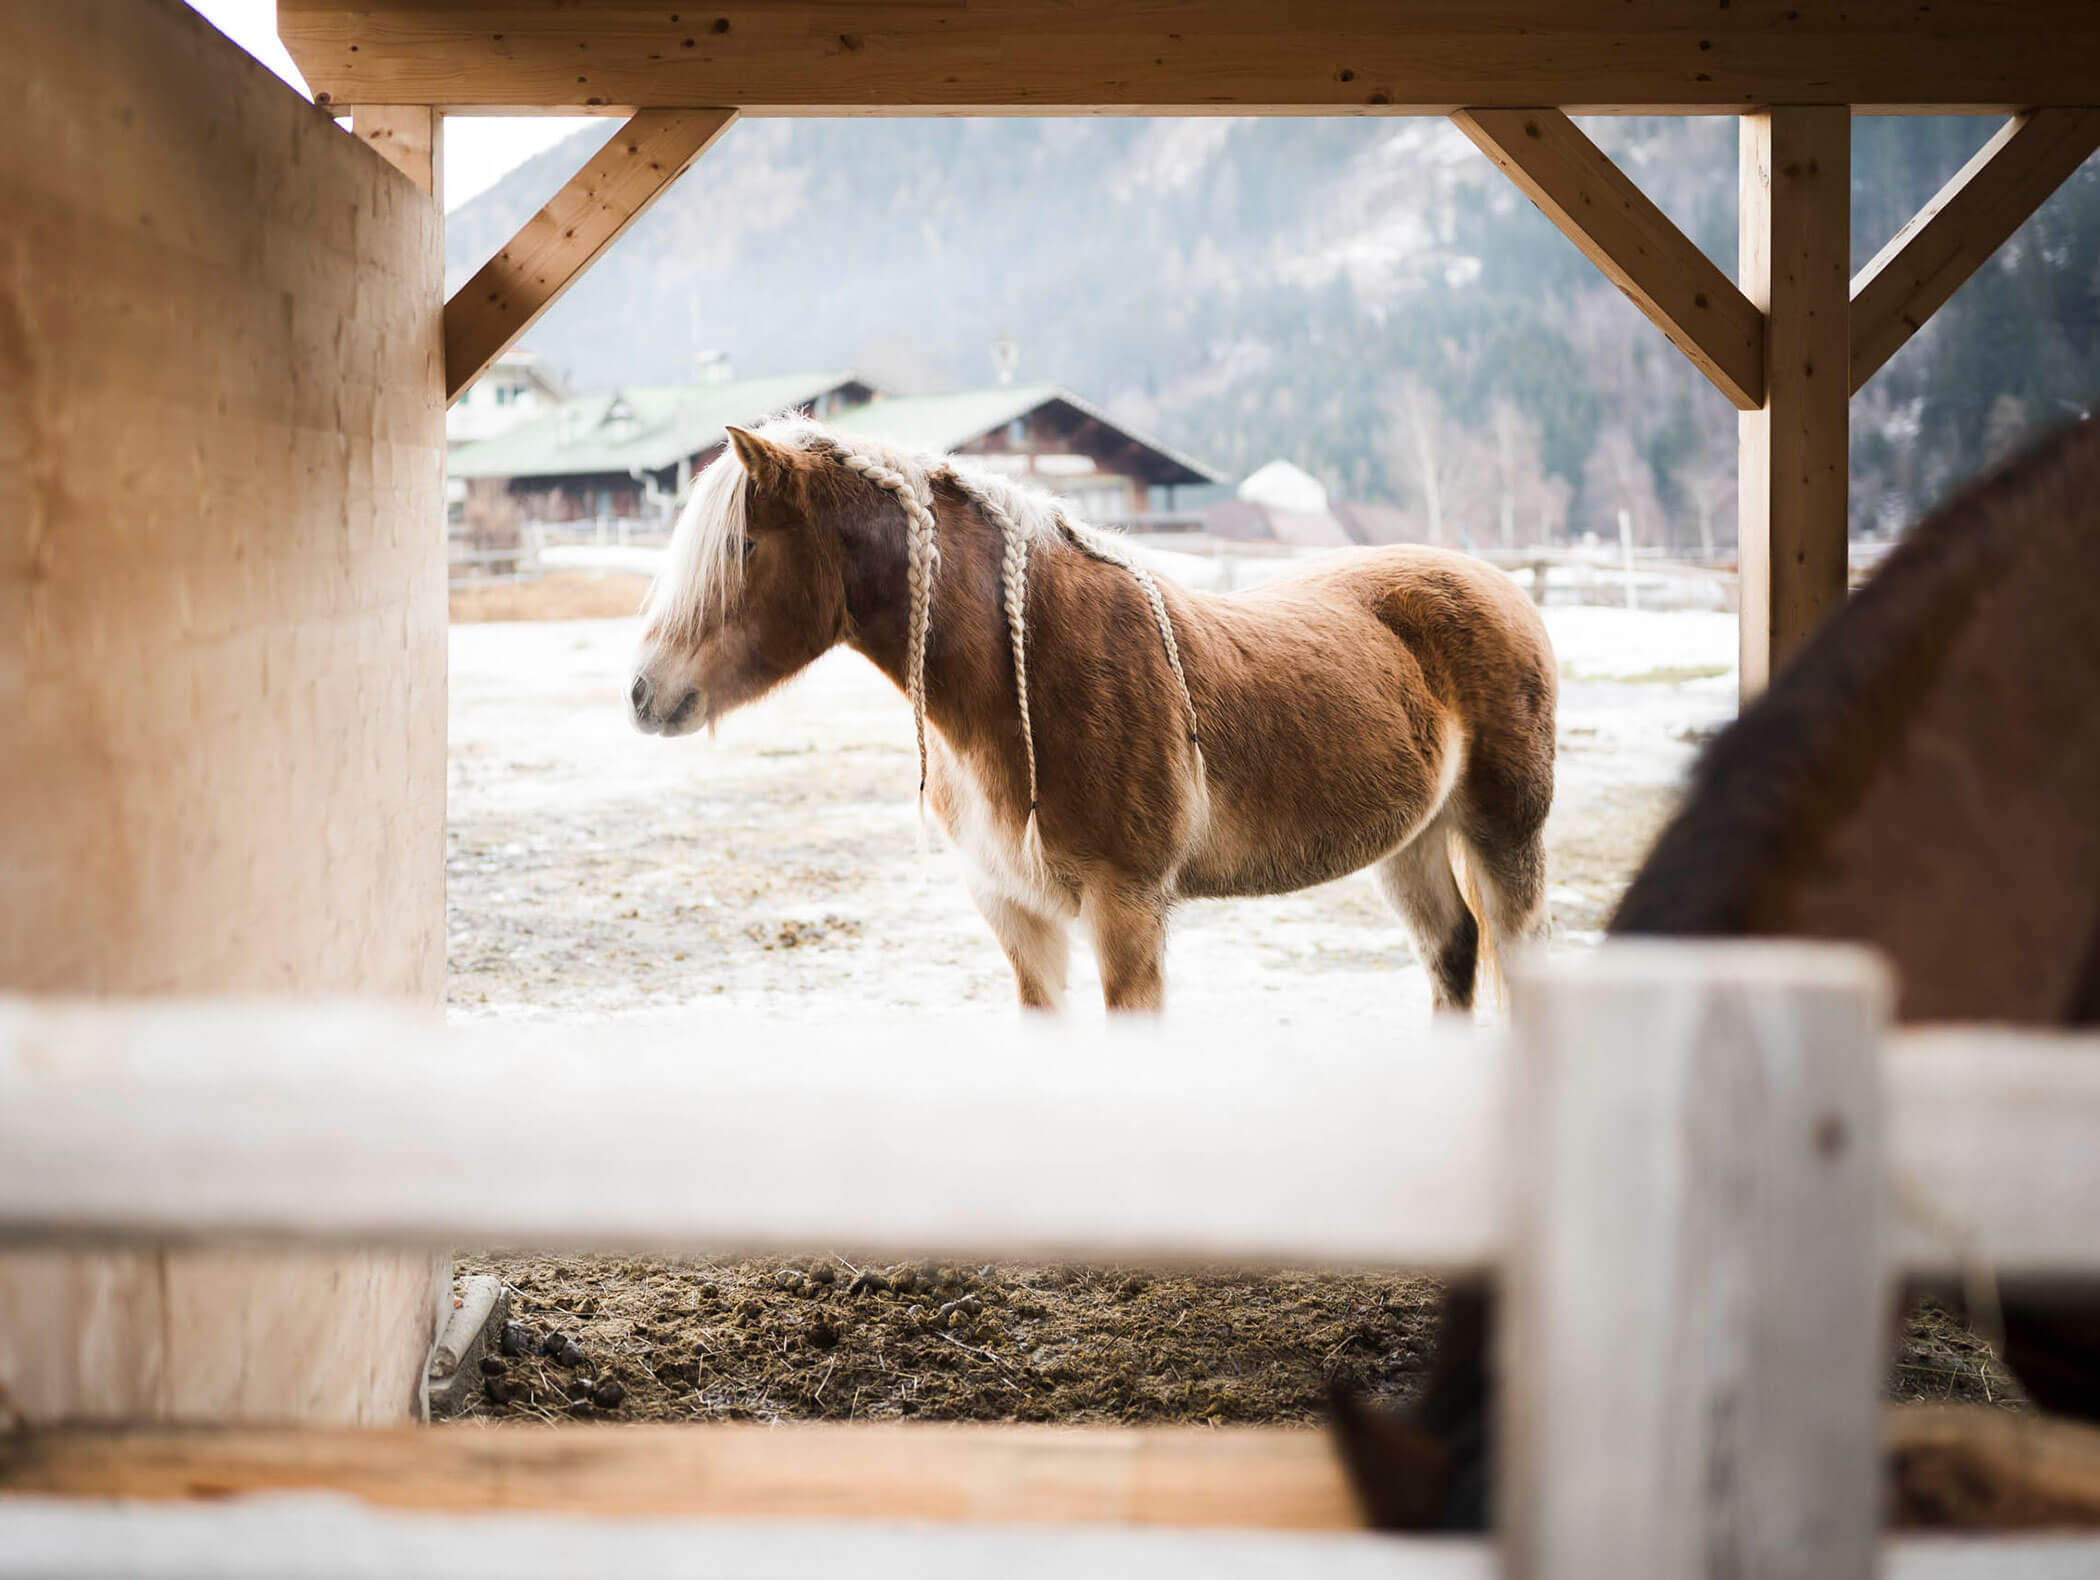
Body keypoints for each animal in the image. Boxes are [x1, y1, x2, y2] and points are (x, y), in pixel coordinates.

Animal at [629, 419, 1558, 1013]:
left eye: (742, 547)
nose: (642, 693)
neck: (1030, 679)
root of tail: (1503, 586)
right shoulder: (1017, 916)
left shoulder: (1126, 909)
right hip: (1412, 842)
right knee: (1453, 955)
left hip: (1503, 837)